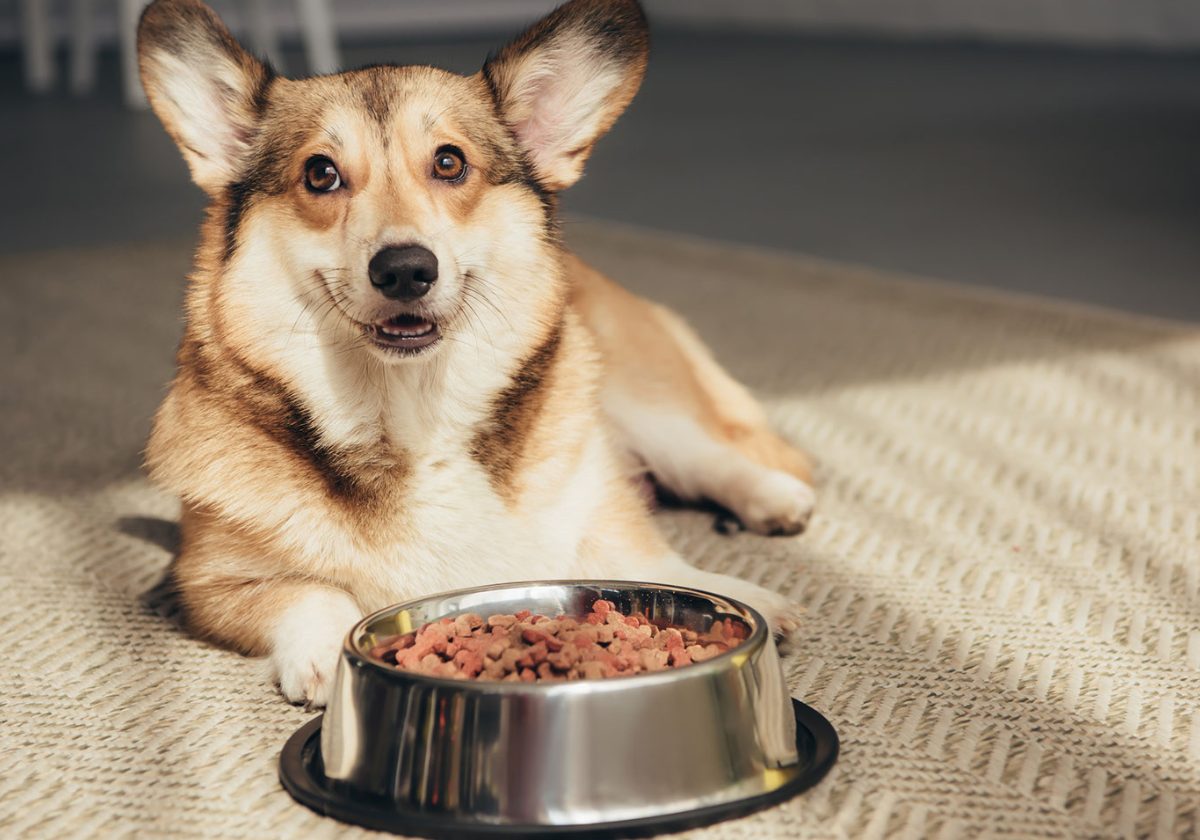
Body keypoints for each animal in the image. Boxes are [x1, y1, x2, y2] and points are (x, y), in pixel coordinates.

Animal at [138, 0, 816, 705]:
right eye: (320, 173)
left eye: (449, 163)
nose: (405, 270)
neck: (411, 414)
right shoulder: (208, 581)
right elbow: (307, 592)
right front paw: (327, 651)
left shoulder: (596, 504)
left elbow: (649, 560)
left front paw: (732, 593)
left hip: (641, 402)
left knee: (714, 454)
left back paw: (776, 499)